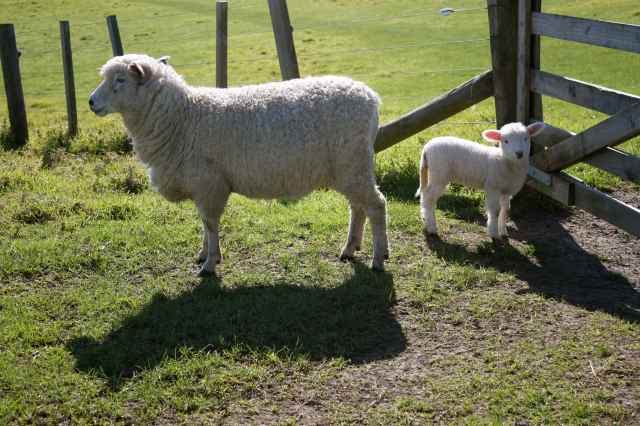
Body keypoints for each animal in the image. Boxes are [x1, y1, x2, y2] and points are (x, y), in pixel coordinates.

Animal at [89, 54, 389, 275]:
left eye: (120, 80)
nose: (91, 102)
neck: (183, 117)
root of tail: (371, 97)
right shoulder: (203, 186)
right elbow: (204, 224)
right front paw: (204, 254)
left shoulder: (209, 184)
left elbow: (210, 224)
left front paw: (210, 264)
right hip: (349, 168)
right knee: (357, 207)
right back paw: (349, 249)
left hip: (353, 163)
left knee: (376, 205)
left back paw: (379, 257)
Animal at [415, 122, 545, 239]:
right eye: (506, 141)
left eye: (526, 138)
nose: (519, 153)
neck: (504, 161)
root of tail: (426, 148)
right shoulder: (493, 187)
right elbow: (495, 211)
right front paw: (494, 233)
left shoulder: (506, 191)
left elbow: (505, 210)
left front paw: (503, 232)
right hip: (439, 174)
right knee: (429, 197)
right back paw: (431, 227)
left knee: (426, 195)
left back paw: (424, 218)